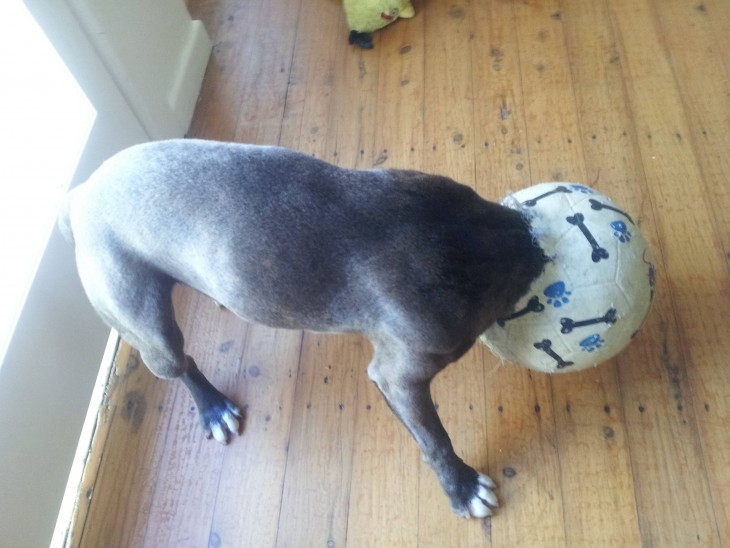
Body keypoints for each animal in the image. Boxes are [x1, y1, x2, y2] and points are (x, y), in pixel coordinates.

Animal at [57, 139, 544, 520]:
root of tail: (77, 198)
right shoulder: (401, 375)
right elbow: (435, 439)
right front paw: (461, 487)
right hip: (151, 332)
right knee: (182, 362)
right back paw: (213, 407)